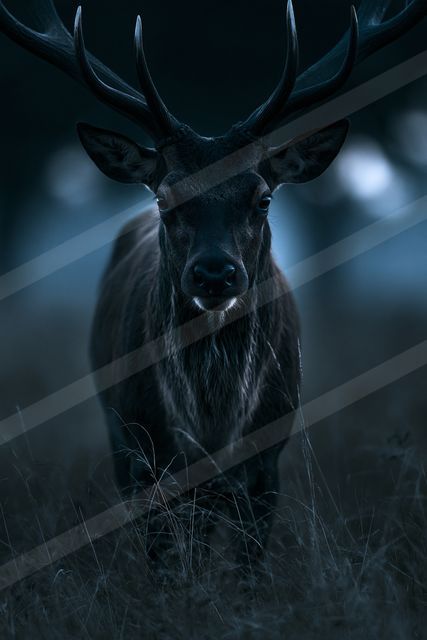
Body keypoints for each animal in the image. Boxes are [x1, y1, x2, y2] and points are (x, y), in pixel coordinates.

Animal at [1, 0, 425, 558]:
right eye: (164, 197)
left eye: (263, 196)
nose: (214, 273)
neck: (214, 426)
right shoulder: (146, 458)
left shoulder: (267, 463)